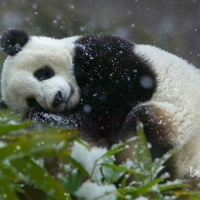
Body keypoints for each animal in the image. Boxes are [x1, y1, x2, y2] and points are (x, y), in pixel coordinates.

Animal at [0, 28, 200, 184]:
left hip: (180, 124)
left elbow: (117, 101)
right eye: (32, 100)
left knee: (147, 125)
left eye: (42, 74)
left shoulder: (104, 55)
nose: (57, 98)